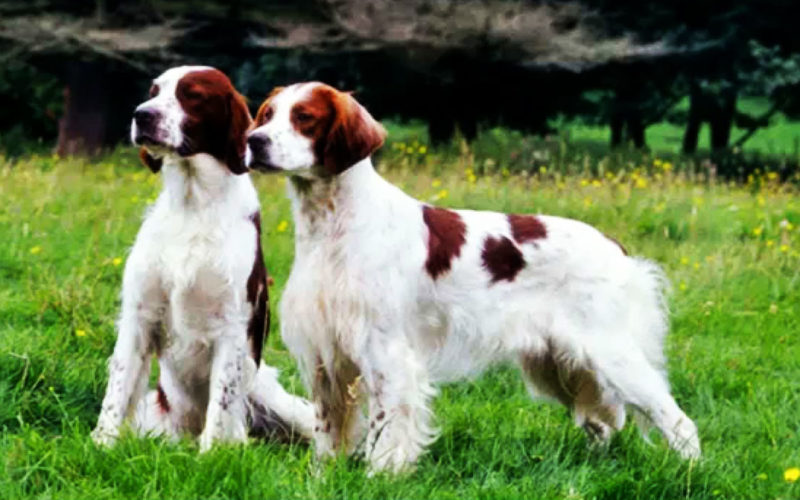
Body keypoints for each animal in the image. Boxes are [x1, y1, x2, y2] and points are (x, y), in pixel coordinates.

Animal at [89, 66, 310, 454]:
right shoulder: (139, 314)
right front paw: (102, 443)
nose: (141, 115)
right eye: (154, 91)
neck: (193, 204)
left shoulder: (231, 323)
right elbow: (117, 388)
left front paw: (210, 456)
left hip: (274, 397)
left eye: (193, 95)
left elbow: (220, 403)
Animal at [244, 82, 700, 472]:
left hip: (610, 353)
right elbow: (327, 432)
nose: (254, 141)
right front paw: (324, 477)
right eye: (266, 115)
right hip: (557, 364)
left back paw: (691, 472)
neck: (334, 226)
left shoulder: (386, 351)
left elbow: (387, 431)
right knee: (602, 422)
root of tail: (615, 248)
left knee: (677, 420)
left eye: (305, 117)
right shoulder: (326, 355)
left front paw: (380, 477)